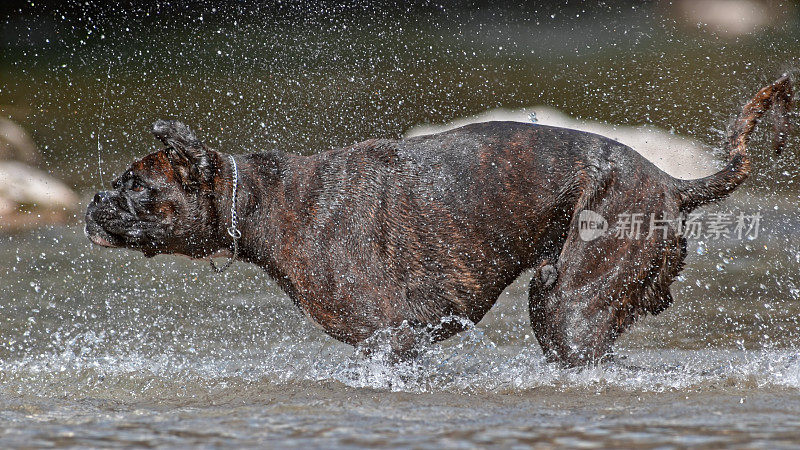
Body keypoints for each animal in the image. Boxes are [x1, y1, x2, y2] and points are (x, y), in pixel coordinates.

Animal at [89, 76, 792, 366]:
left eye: (137, 186)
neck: (261, 197)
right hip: (558, 301)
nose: (95, 200)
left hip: (573, 305)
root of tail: (673, 183)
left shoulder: (392, 338)